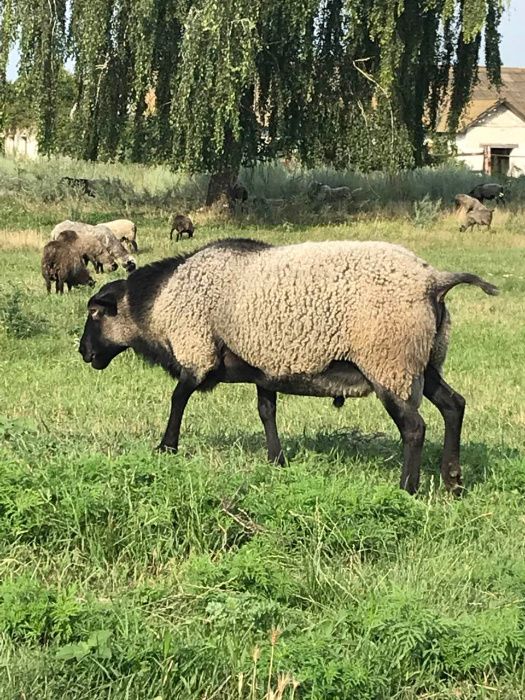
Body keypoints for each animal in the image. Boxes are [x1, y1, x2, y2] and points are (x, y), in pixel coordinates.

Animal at [75, 238, 498, 494]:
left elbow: (178, 399)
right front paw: (276, 461)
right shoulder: (265, 366)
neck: (159, 304)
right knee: (453, 405)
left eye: (95, 313)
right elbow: (266, 411)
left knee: (414, 427)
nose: (83, 353)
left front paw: (166, 447)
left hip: (388, 362)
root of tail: (433, 281)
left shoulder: (197, 352)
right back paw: (453, 481)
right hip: (425, 361)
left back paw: (406, 488)